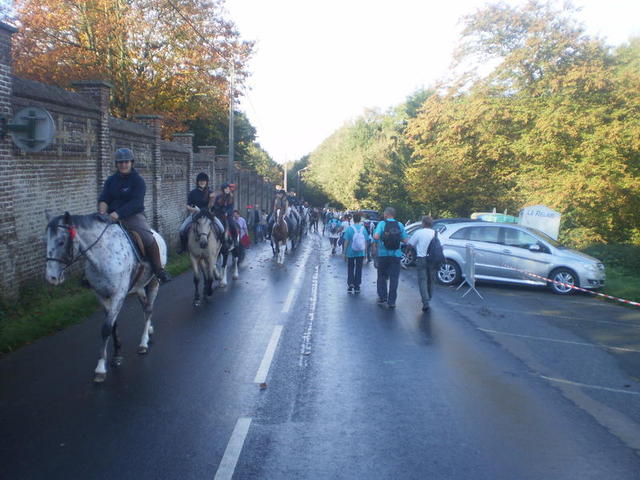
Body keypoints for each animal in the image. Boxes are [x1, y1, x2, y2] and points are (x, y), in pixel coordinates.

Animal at [45, 212, 168, 384]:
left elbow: (106, 328)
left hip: (154, 282)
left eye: (61, 241)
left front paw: (100, 369)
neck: (103, 255)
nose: (51, 278)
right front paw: (116, 355)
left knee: (149, 309)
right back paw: (149, 329)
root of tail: (156, 234)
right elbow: (112, 326)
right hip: (138, 288)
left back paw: (143, 343)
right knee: (145, 308)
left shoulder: (119, 295)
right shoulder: (102, 296)